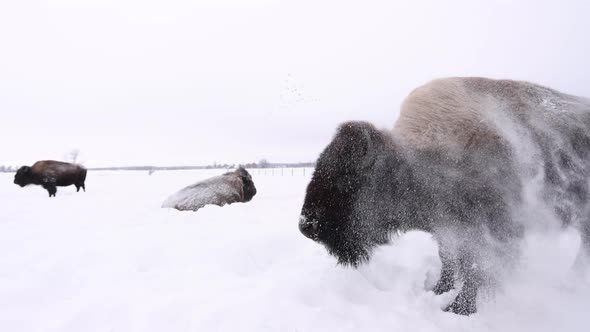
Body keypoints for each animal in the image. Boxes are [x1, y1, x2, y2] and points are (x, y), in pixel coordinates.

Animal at [300, 76, 590, 316]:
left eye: (346, 180)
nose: (306, 225)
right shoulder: (448, 229)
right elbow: (450, 261)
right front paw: (437, 291)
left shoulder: (490, 232)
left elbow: (477, 270)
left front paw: (460, 310)